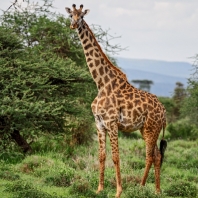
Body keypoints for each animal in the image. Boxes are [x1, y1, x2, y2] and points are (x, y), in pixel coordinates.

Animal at [65, 4, 167, 198]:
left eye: (81, 16)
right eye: (70, 15)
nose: (73, 25)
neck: (101, 83)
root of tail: (164, 112)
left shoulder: (112, 123)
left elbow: (116, 156)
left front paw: (118, 191)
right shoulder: (99, 124)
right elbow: (102, 156)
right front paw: (99, 188)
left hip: (152, 128)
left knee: (150, 155)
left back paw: (143, 187)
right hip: (145, 129)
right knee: (157, 155)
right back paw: (156, 190)